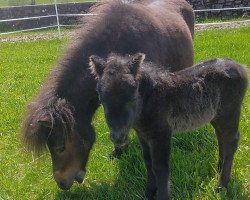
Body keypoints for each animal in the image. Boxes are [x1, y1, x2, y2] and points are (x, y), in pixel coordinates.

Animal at [90, 53, 248, 200]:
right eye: (102, 100)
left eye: (132, 98)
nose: (118, 137)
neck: (148, 100)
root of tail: (241, 67)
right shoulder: (143, 135)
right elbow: (148, 162)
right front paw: (149, 192)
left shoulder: (162, 134)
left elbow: (160, 168)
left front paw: (162, 195)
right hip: (217, 117)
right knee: (222, 138)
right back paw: (219, 169)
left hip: (230, 113)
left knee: (232, 141)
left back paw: (222, 185)